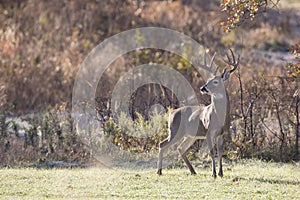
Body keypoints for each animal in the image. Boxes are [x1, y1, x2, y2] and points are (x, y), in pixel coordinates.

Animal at [157, 49, 239, 177]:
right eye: (208, 80)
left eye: (215, 82)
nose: (202, 88)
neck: (218, 116)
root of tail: (171, 113)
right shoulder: (208, 130)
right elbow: (212, 152)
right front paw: (214, 173)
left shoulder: (222, 133)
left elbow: (220, 152)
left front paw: (221, 173)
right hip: (175, 130)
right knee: (162, 144)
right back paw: (159, 171)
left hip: (190, 135)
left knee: (180, 148)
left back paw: (193, 171)